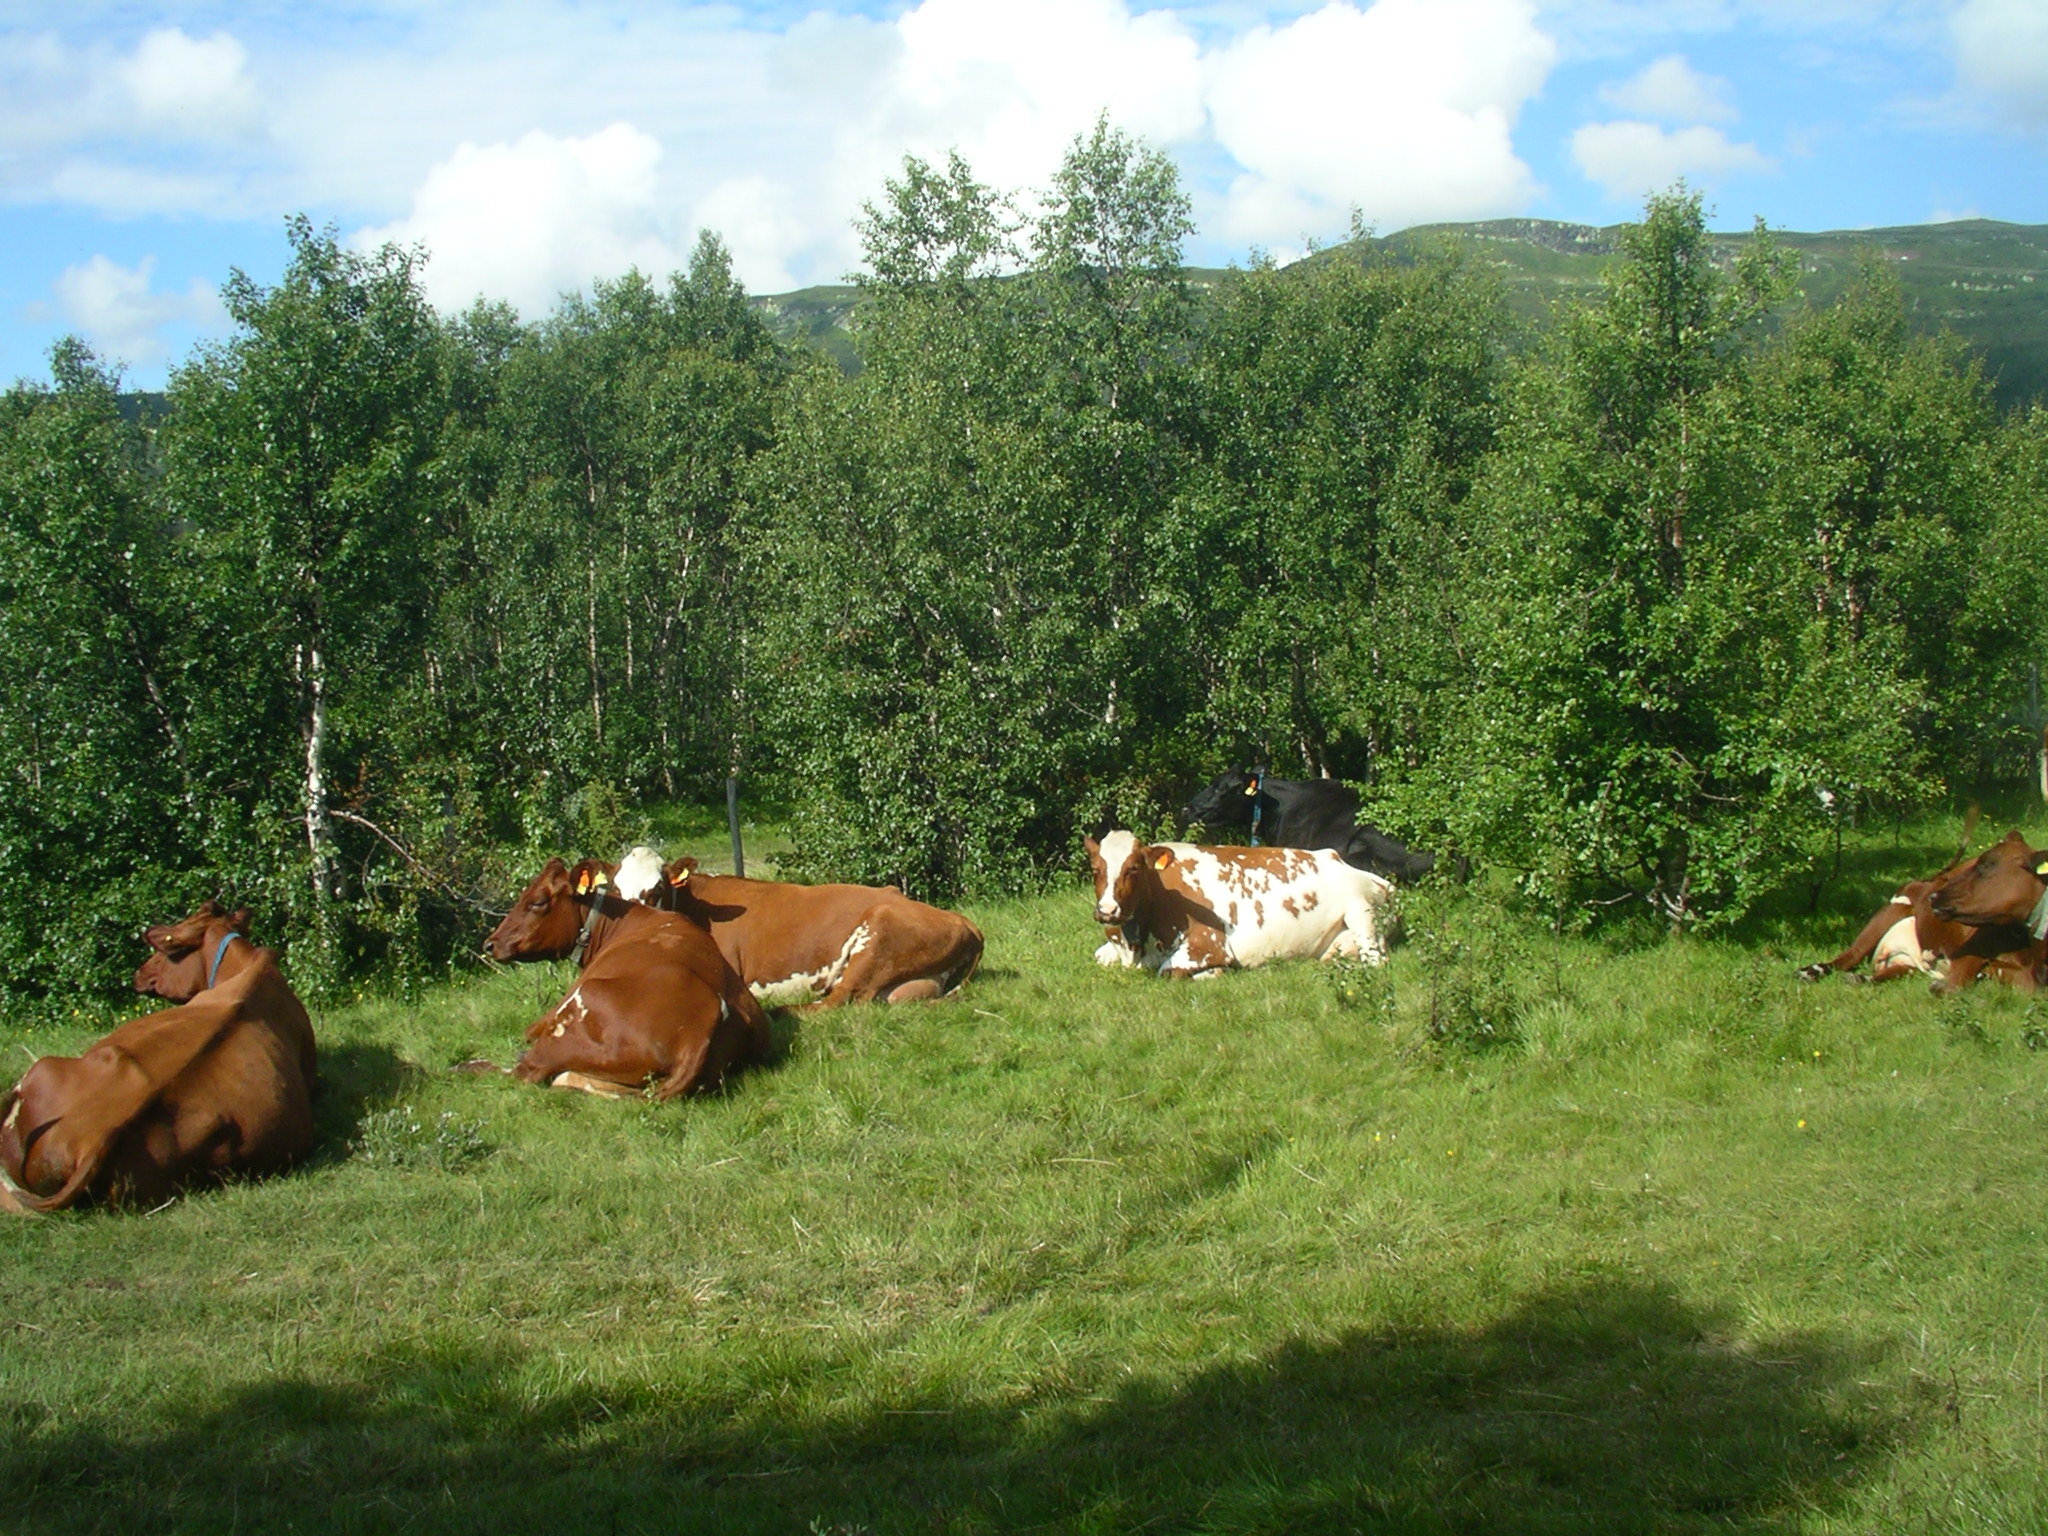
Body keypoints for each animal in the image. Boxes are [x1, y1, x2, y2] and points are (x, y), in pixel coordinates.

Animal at [481, 860, 774, 1097]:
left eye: (538, 902)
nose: (490, 944)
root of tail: (701, 1026)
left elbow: (528, 1031)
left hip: (582, 1002)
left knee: (526, 1070)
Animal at [1081, 835, 1400, 978]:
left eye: (1133, 868)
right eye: (1095, 869)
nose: (1107, 910)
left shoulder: (1209, 944)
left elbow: (1168, 971)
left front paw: (1215, 973)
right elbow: (1098, 956)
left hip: (1361, 912)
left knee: (1376, 960)